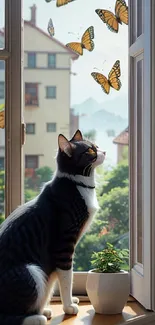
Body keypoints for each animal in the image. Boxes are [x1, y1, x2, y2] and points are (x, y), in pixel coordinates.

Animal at [0, 130, 105, 324]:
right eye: (90, 151)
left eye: (96, 146)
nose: (103, 151)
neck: (79, 185)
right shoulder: (64, 245)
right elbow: (66, 277)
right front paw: (69, 306)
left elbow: (53, 282)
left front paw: (54, 305)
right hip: (31, 270)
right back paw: (36, 317)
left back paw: (42, 311)